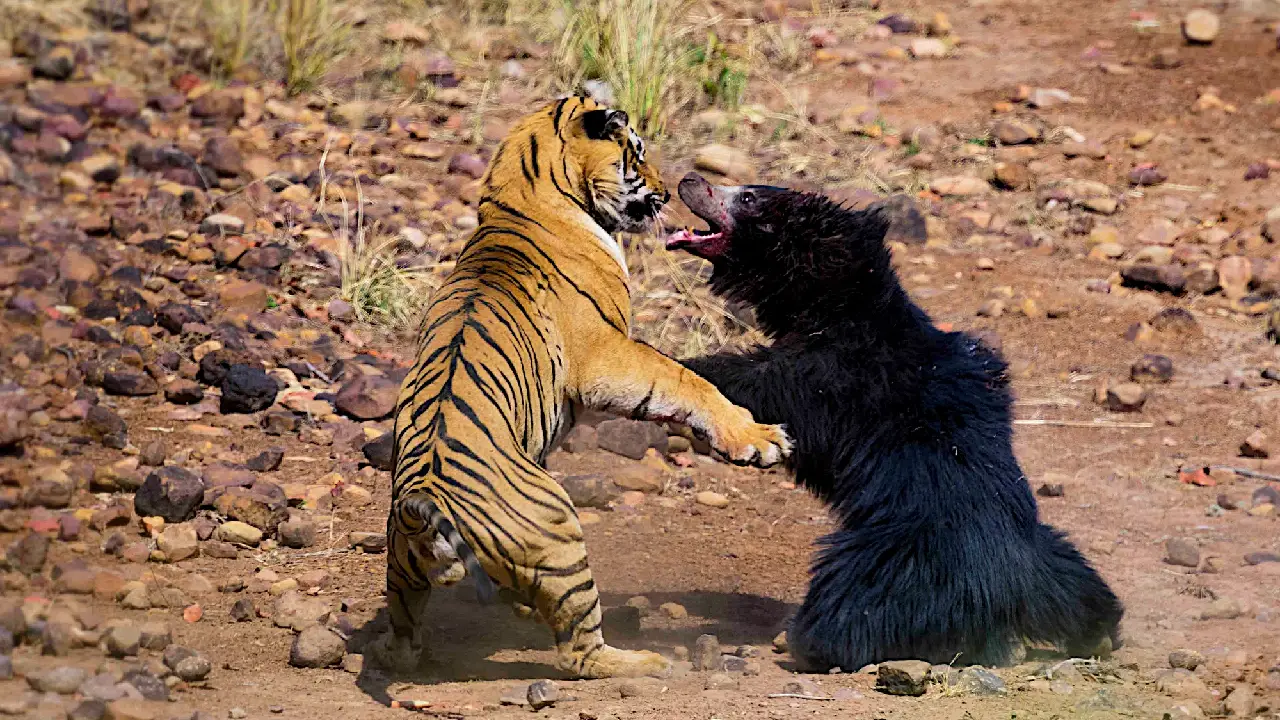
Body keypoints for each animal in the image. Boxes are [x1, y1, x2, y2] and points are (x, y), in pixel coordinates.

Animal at [371, 96, 788, 676]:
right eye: (636, 152)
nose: (666, 188)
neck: (518, 196)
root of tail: (423, 501)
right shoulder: (606, 354)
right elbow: (684, 380)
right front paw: (759, 439)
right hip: (560, 533)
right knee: (579, 651)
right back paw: (646, 664)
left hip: (401, 569)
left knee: (404, 633)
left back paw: (398, 649)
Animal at [665, 170, 1126, 671]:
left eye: (747, 198)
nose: (688, 179)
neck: (841, 304)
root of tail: (1004, 593)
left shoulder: (831, 375)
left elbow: (758, 384)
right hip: (1047, 556)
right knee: (1077, 581)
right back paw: (1100, 633)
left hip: (895, 560)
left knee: (849, 603)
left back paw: (809, 642)